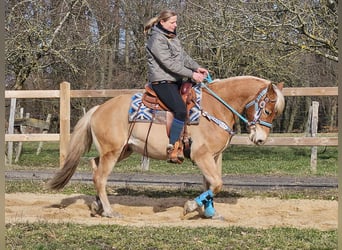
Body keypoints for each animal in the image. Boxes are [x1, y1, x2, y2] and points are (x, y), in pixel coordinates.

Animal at [46, 75, 284, 219]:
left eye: (274, 113)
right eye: (268, 110)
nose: (260, 139)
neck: (215, 107)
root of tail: (99, 108)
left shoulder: (213, 157)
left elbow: (212, 185)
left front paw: (209, 213)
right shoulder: (201, 155)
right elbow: (216, 184)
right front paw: (191, 207)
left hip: (122, 150)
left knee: (95, 166)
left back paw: (99, 207)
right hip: (112, 152)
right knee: (100, 177)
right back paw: (110, 211)